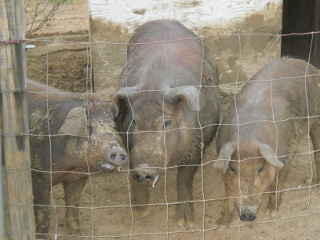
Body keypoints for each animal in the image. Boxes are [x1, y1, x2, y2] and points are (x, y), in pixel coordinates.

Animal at [26, 79, 129, 238]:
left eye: (112, 128)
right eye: (89, 127)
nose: (118, 150)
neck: (70, 167)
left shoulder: (78, 177)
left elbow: (73, 203)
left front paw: (78, 233)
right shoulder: (38, 177)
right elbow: (44, 213)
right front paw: (41, 236)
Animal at [112, 18, 220, 227]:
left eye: (167, 122)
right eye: (134, 120)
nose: (144, 170)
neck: (154, 83)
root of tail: (162, 19)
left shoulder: (198, 144)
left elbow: (184, 178)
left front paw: (186, 223)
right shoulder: (128, 143)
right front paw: (140, 212)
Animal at [214, 57, 320, 225]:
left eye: (260, 168)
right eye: (233, 169)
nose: (247, 213)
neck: (247, 137)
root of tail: (305, 63)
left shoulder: (286, 153)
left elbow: (277, 181)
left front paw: (271, 213)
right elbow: (228, 191)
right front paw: (221, 223)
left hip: (316, 118)